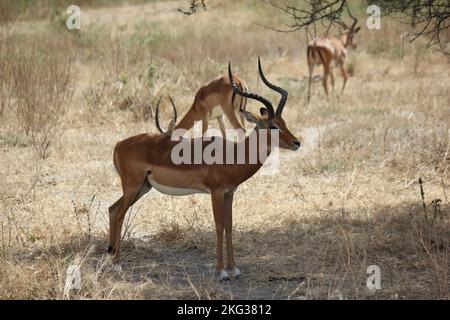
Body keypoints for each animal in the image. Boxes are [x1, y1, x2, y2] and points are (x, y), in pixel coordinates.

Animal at [107, 59, 300, 280]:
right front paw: (221, 272)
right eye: (273, 125)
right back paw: (117, 263)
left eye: (284, 122)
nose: (297, 143)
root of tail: (119, 144)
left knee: (112, 209)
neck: (233, 155)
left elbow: (229, 226)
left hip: (143, 187)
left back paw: (111, 253)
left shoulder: (229, 193)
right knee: (120, 214)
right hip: (133, 186)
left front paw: (234, 268)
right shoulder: (216, 192)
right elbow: (218, 227)